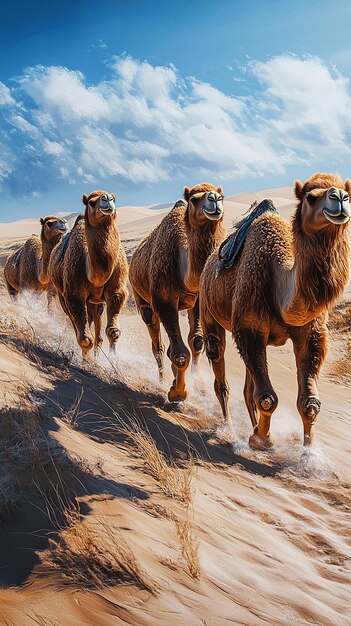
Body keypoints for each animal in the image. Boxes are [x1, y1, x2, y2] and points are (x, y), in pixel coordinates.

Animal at [47, 190, 128, 356]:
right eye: (91, 202)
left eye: (114, 198)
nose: (107, 199)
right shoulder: (73, 294)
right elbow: (85, 338)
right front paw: (85, 359)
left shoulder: (117, 289)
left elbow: (113, 331)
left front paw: (113, 358)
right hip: (61, 293)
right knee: (74, 321)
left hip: (95, 300)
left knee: (95, 316)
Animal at [131, 180, 227, 400]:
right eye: (194, 199)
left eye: (221, 196)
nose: (215, 199)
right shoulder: (163, 300)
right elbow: (180, 354)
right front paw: (178, 392)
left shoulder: (197, 300)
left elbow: (197, 342)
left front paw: (198, 385)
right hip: (141, 296)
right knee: (157, 342)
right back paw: (163, 378)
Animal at [201, 173, 351, 446]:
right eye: (311, 197)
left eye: (348, 193)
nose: (340, 198)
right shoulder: (249, 328)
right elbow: (267, 398)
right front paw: (262, 440)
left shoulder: (310, 334)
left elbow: (309, 403)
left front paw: (308, 452)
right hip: (208, 310)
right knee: (221, 373)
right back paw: (229, 428)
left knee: (248, 389)